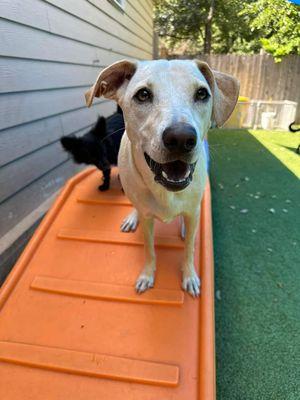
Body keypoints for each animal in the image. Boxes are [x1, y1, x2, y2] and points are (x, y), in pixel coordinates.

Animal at [85, 59, 239, 296]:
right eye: (143, 95)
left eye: (202, 94)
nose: (181, 138)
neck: (165, 192)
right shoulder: (147, 219)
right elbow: (149, 249)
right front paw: (148, 275)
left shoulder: (193, 211)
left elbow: (189, 249)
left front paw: (189, 275)